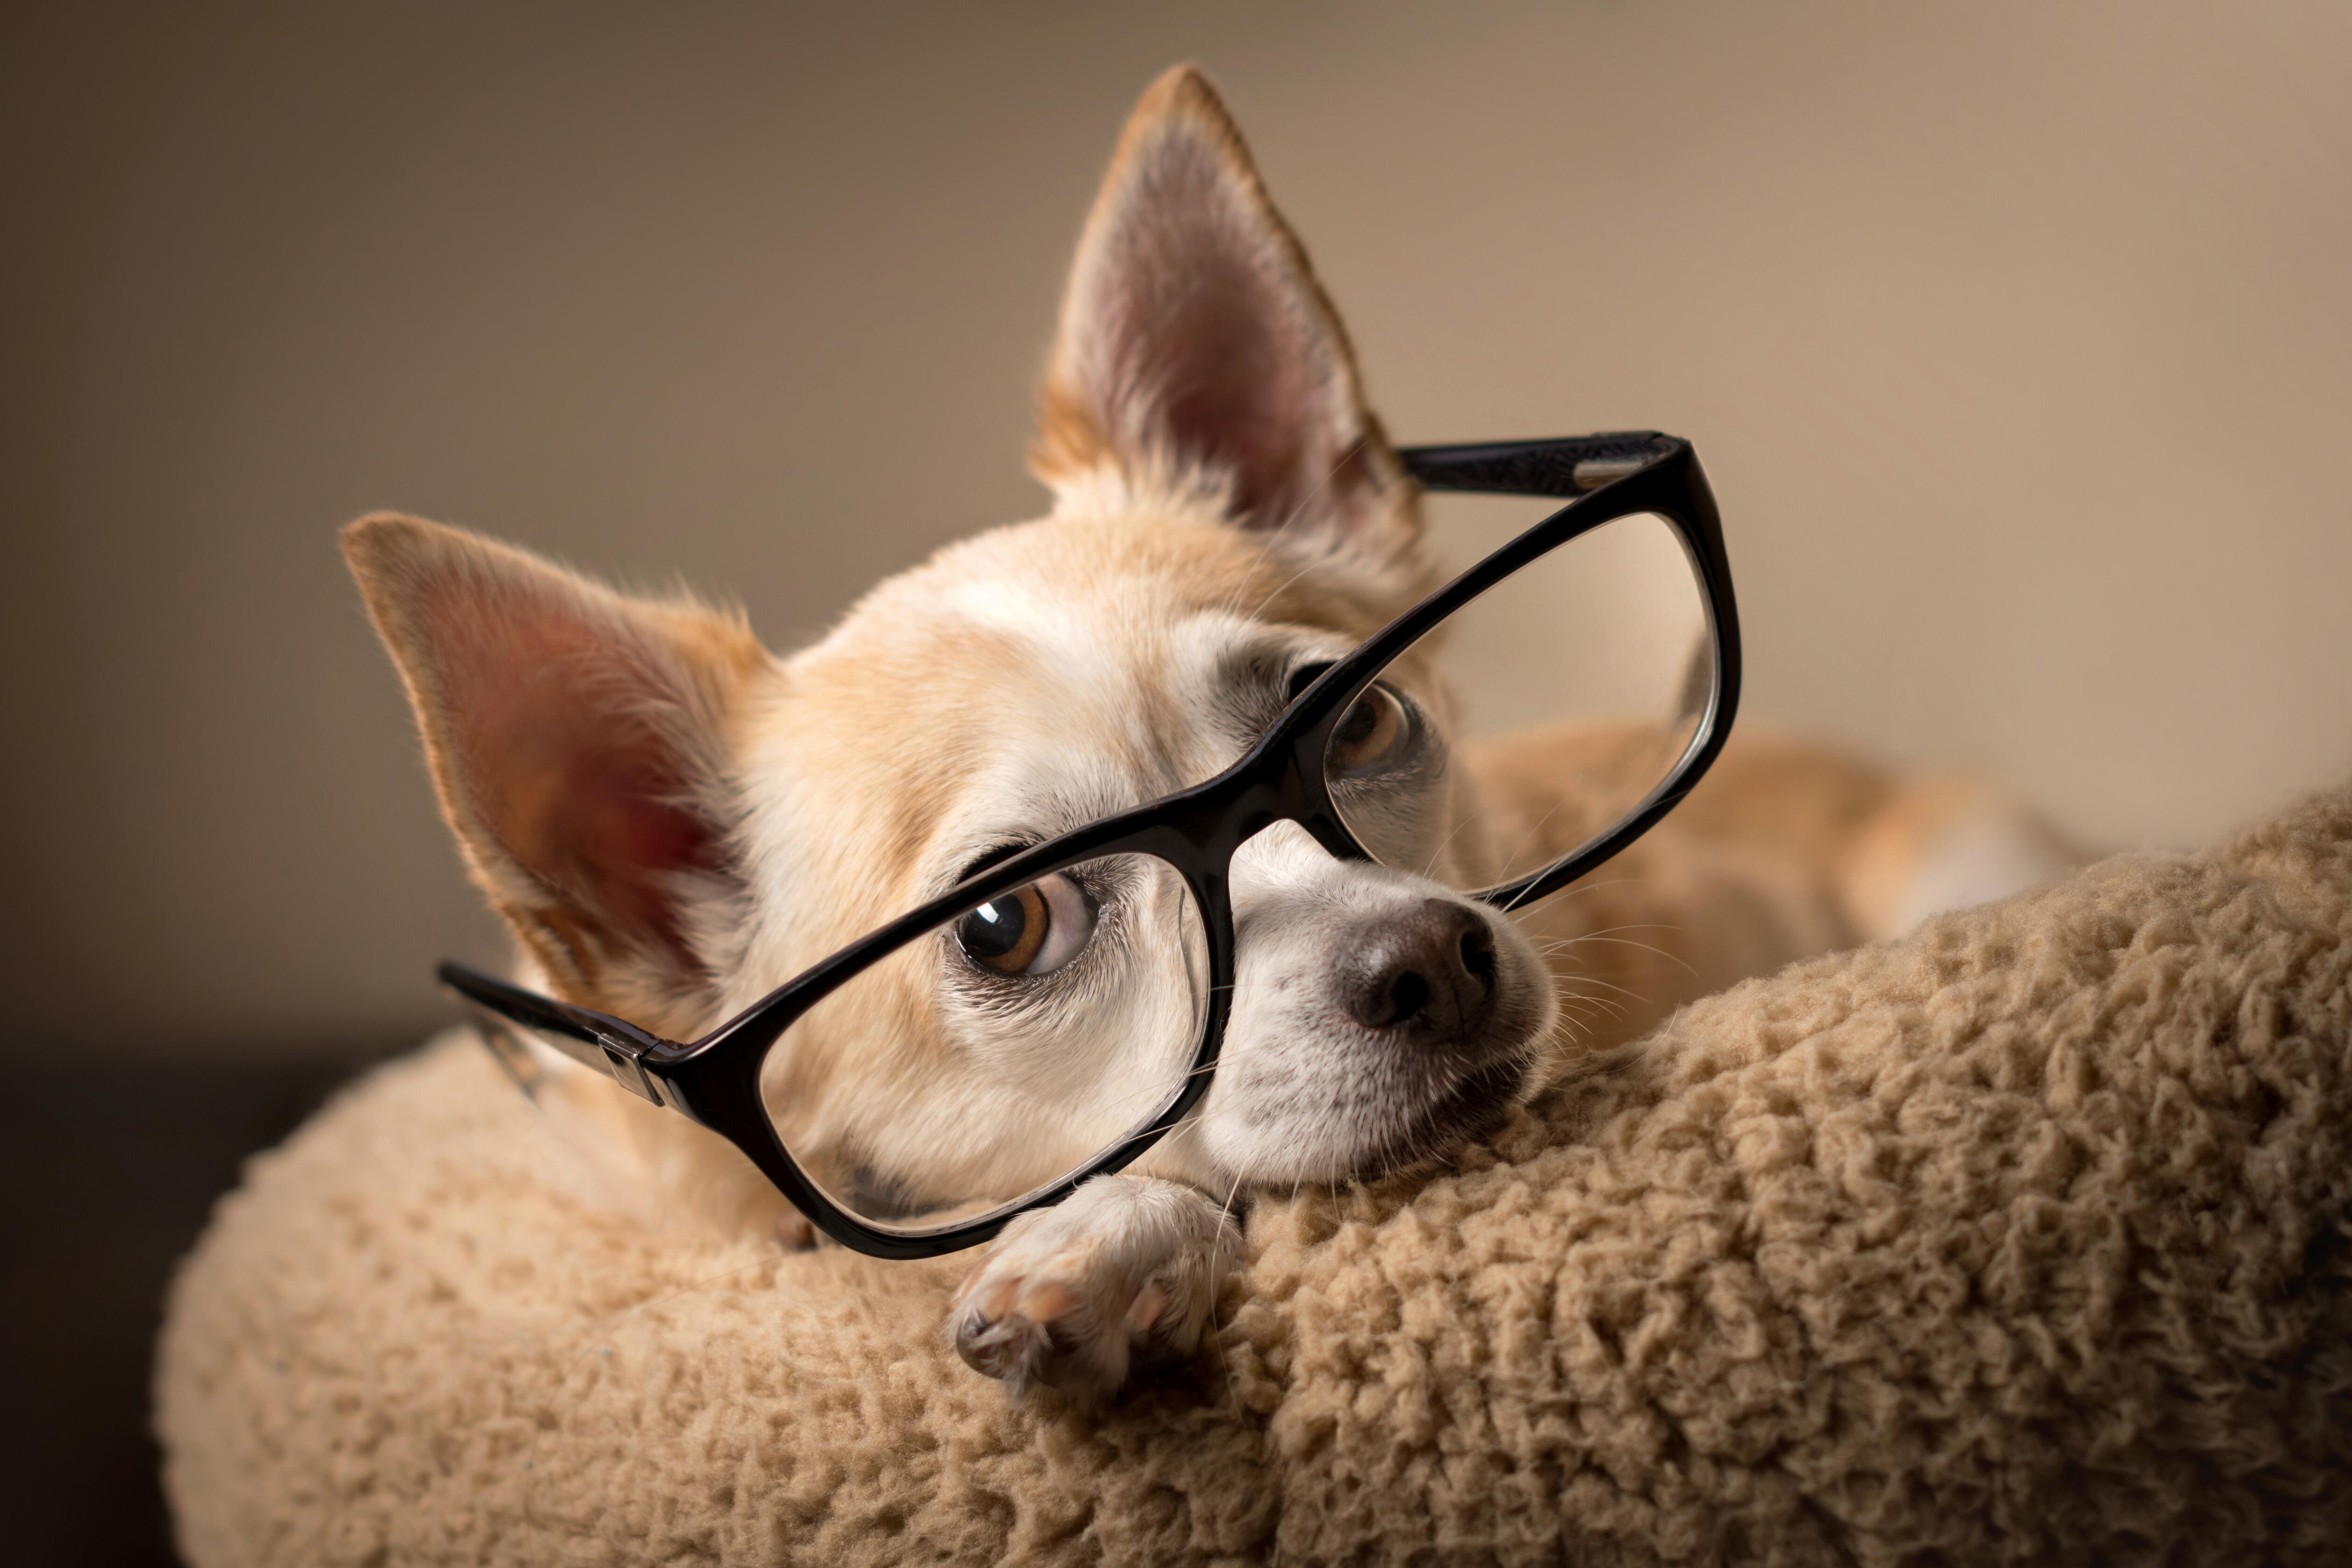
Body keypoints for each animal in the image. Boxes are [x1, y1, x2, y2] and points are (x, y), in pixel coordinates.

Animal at [341, 67, 2070, 1401]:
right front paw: (1109, 1234)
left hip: (1971, 856)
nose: (1432, 953)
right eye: (1006, 923)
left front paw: (1103, 1246)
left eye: (1356, 716)